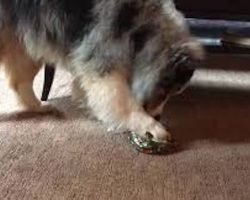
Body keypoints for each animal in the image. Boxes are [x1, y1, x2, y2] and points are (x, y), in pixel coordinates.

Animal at [0, 0, 203, 141]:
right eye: (163, 92)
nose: (158, 116)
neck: (139, 33)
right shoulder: (103, 56)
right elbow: (122, 98)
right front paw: (150, 126)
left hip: (26, 41)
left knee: (19, 82)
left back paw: (39, 107)